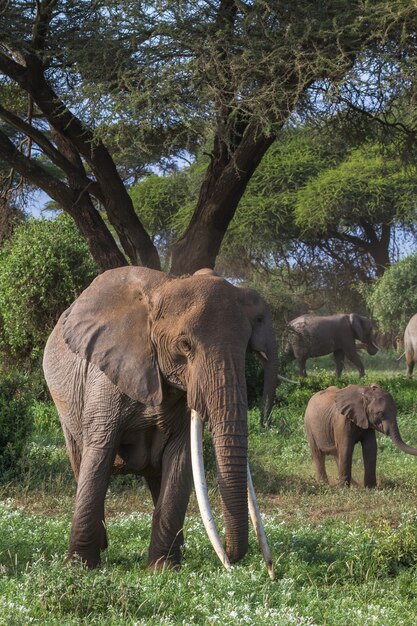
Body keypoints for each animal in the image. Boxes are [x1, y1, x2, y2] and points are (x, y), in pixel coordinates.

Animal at [42, 266, 278, 572]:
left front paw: (163, 570)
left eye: (246, 346)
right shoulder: (104, 377)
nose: (231, 557)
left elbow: (180, 460)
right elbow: (99, 455)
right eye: (185, 345)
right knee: (80, 459)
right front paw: (79, 567)